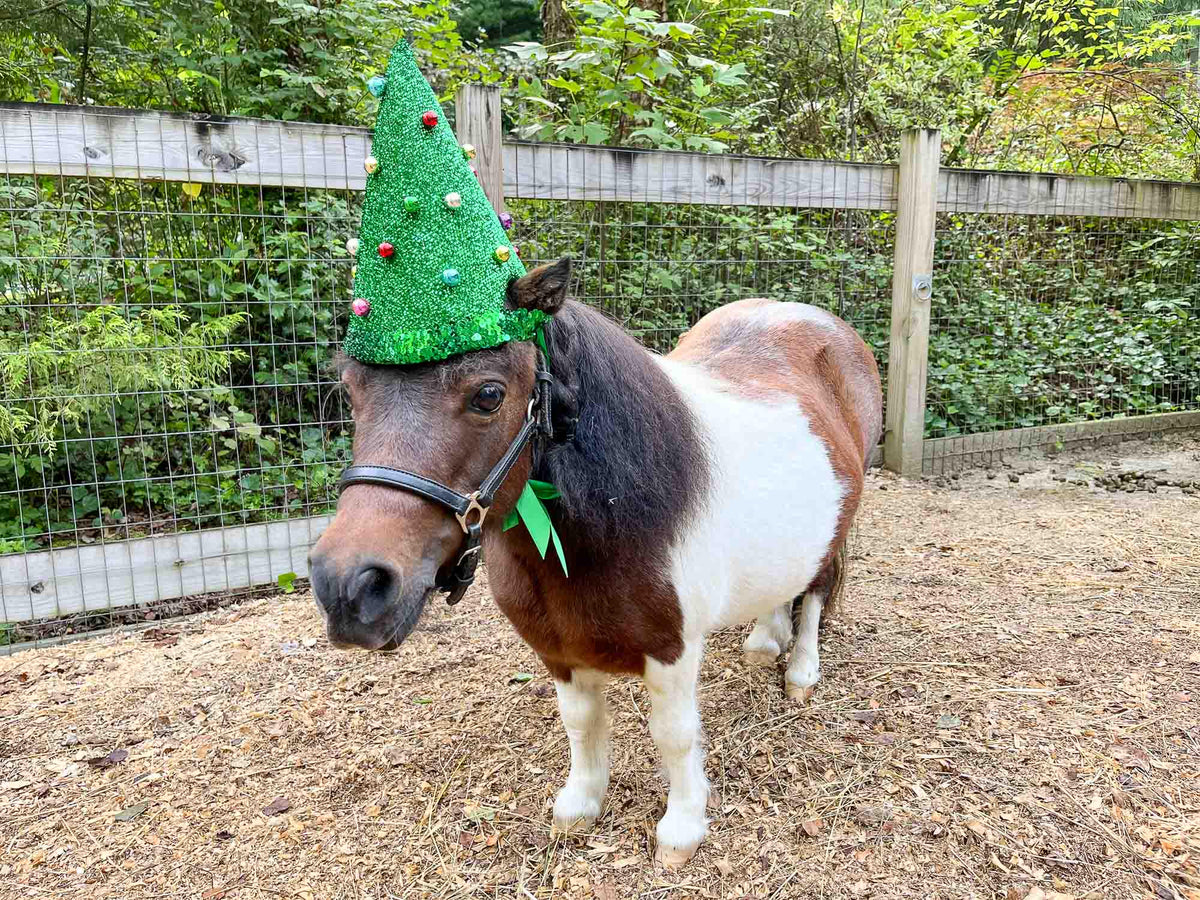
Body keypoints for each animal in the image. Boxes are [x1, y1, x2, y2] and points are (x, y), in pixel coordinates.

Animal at [309, 257, 883, 866]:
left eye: (488, 394)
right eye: (351, 391)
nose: (347, 587)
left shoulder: (673, 652)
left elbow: (674, 735)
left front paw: (682, 829)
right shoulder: (557, 650)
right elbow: (581, 724)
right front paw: (581, 804)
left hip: (838, 526)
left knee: (816, 593)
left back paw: (800, 673)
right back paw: (763, 642)